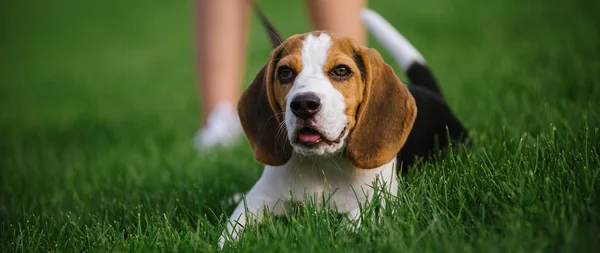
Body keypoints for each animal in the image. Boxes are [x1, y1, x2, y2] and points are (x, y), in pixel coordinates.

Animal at [218, 7, 466, 247]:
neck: (323, 164)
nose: (304, 104)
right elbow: (230, 232)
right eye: (285, 72)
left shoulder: (380, 200)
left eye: (341, 70)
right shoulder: (258, 200)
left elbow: (353, 223)